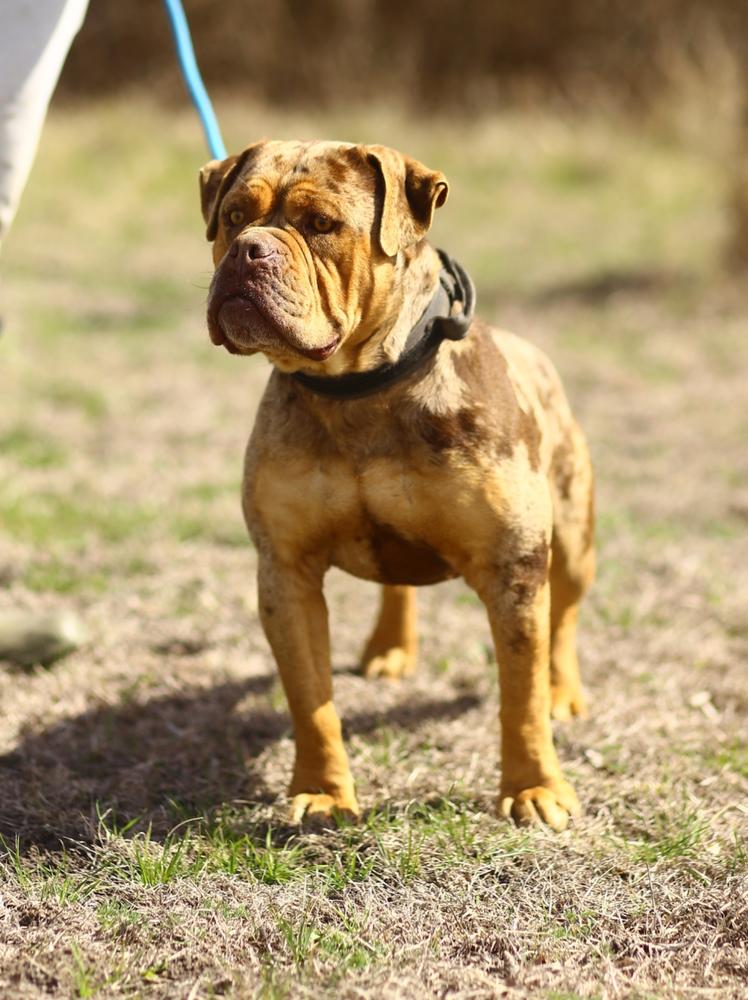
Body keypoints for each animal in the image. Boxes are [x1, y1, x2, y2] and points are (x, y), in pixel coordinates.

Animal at [199, 139, 596, 828]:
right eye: (232, 218)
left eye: (321, 225)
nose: (249, 250)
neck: (358, 388)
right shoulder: (286, 573)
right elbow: (312, 700)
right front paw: (324, 793)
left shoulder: (515, 569)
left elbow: (520, 697)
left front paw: (534, 788)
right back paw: (390, 648)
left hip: (571, 537)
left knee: (565, 618)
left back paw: (564, 693)